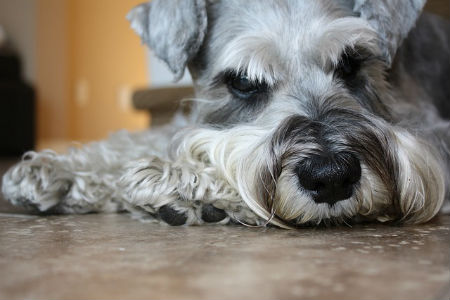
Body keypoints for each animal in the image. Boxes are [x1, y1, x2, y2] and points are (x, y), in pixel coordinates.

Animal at [0, 0, 450, 227]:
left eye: (352, 63)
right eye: (244, 82)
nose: (331, 177)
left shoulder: (435, 133)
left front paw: (178, 180)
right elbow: (144, 138)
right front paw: (57, 172)